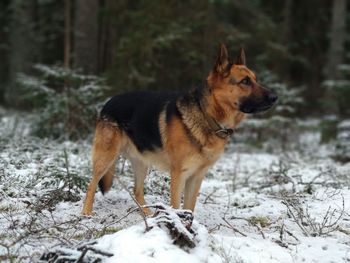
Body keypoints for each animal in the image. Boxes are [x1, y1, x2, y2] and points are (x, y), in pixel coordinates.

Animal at [81, 44, 276, 216]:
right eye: (245, 81)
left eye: (255, 79)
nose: (275, 97)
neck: (206, 114)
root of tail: (109, 102)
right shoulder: (179, 176)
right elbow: (176, 206)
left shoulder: (196, 178)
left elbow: (190, 208)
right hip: (105, 158)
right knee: (91, 185)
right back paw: (86, 213)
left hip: (142, 162)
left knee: (136, 190)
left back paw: (147, 215)